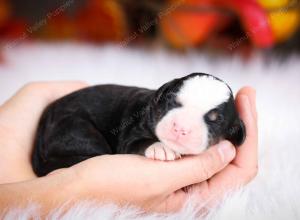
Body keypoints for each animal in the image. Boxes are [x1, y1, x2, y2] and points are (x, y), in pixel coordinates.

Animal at [31, 73, 245, 176]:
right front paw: (160, 148)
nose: (180, 128)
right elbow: (136, 142)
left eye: (215, 120)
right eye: (172, 102)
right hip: (75, 128)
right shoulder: (130, 134)